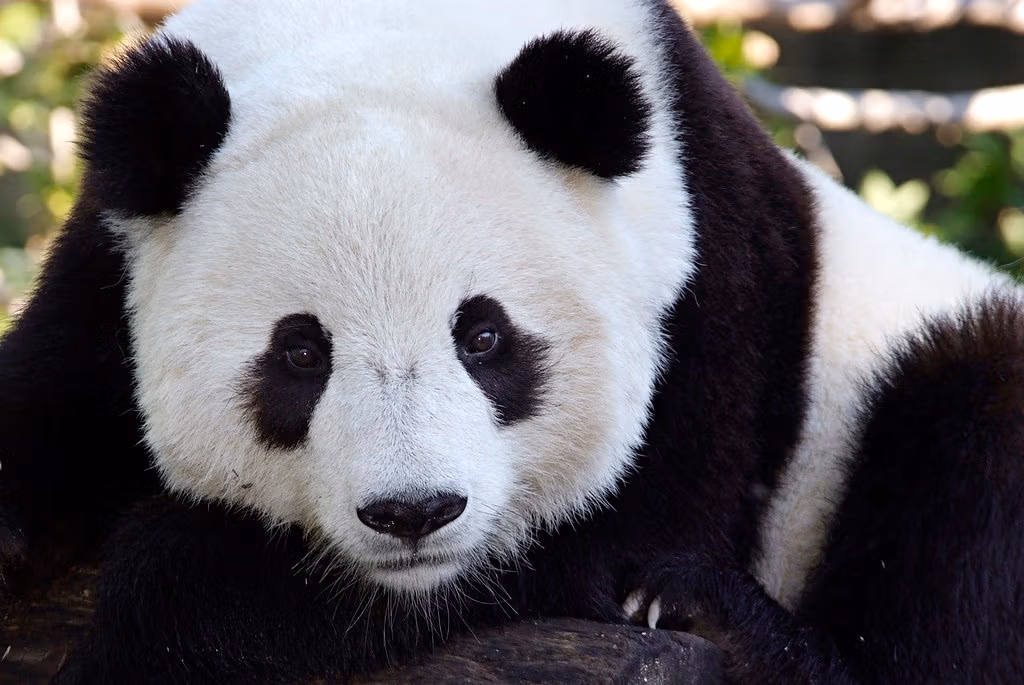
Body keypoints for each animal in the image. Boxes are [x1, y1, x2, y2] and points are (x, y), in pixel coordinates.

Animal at [1, 0, 1022, 683]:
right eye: (300, 352)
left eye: (484, 335)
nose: (414, 512)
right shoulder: (110, 252)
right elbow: (55, 392)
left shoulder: (714, 287)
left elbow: (611, 540)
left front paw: (166, 595)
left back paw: (719, 621)